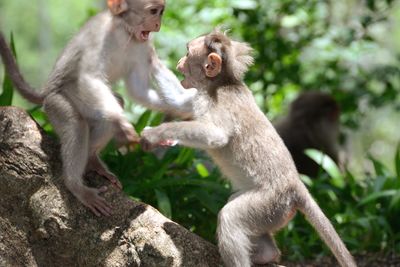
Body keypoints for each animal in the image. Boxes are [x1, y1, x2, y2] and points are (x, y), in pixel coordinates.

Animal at [0, 0, 195, 217]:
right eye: (153, 11)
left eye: (161, 12)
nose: (157, 25)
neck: (123, 31)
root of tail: (46, 91)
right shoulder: (99, 38)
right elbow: (90, 78)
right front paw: (124, 124)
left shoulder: (142, 46)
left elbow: (138, 91)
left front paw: (182, 108)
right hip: (56, 101)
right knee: (76, 124)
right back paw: (76, 186)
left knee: (112, 105)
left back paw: (92, 159)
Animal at [141, 30, 356, 266]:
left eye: (188, 53)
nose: (180, 62)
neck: (219, 85)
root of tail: (296, 186)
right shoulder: (199, 98)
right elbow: (178, 101)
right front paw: (149, 54)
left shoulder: (218, 101)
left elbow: (216, 136)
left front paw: (156, 134)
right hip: (275, 212)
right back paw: (268, 254)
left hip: (272, 202)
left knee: (231, 217)